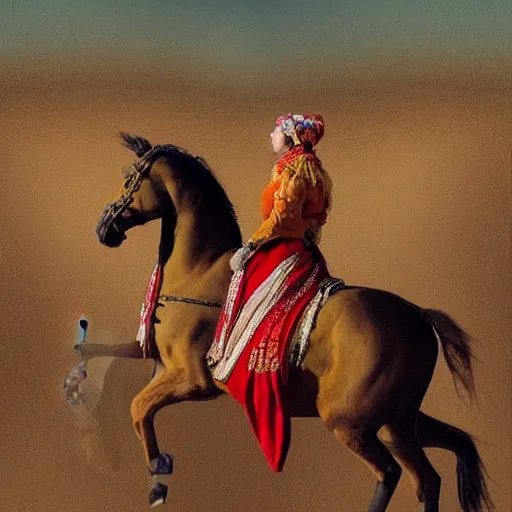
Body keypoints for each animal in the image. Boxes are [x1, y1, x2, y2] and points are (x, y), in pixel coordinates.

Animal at [83, 133, 492, 512]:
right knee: (437, 468)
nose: (104, 228)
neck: (199, 269)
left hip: (350, 420)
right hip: (399, 422)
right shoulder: (158, 362)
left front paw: (157, 480)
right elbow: (110, 363)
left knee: (393, 473)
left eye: (129, 177)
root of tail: (419, 317)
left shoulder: (193, 379)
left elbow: (138, 407)